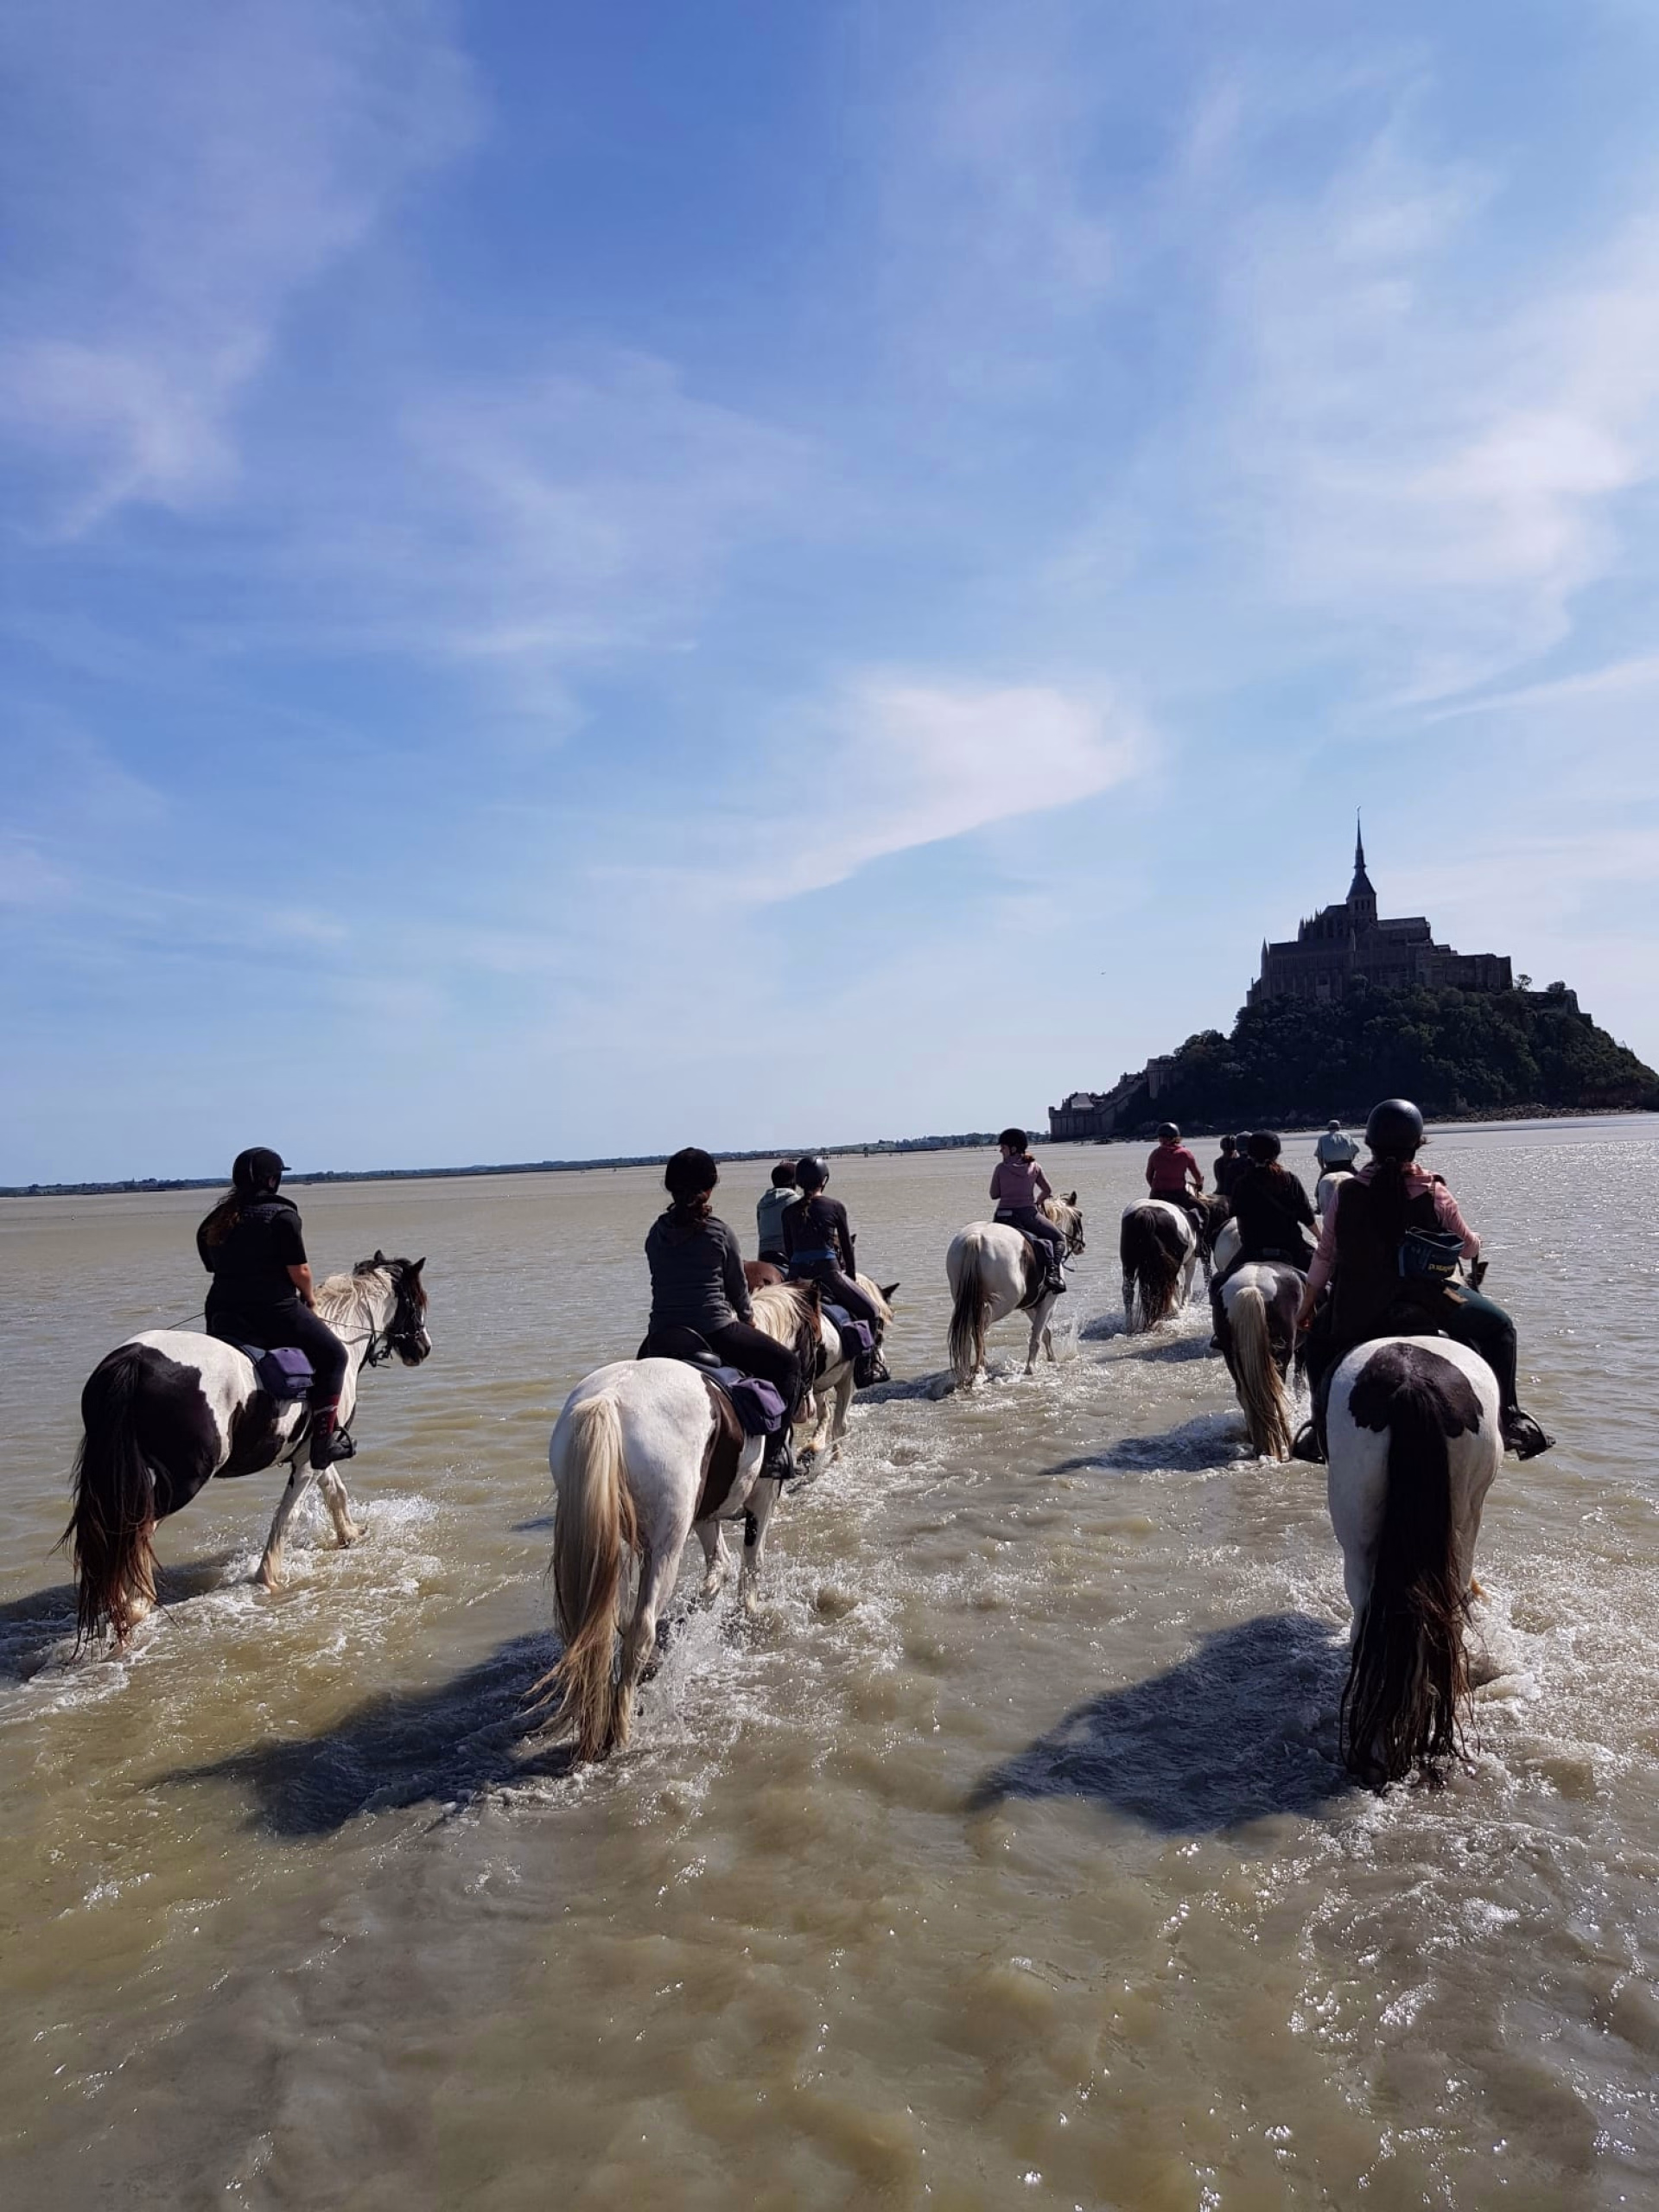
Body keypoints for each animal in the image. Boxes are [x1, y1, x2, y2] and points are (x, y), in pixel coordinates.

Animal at [67, 1254, 431, 1645]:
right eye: (417, 1300)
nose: (423, 1348)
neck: (343, 1335)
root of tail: (132, 1361)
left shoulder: (314, 1451)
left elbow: (336, 1491)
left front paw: (350, 1534)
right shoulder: (308, 1460)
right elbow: (288, 1515)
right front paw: (270, 1577)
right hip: (184, 1479)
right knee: (137, 1530)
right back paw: (138, 1603)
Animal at [534, 1356, 788, 1762]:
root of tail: (610, 1399)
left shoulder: (703, 1515)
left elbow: (719, 1567)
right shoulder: (762, 1500)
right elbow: (751, 1564)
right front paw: (746, 1616)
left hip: (614, 1544)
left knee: (607, 1626)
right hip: (667, 1546)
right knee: (641, 1628)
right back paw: (621, 1727)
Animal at [752, 1275, 898, 1461]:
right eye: (879, 1327)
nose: (882, 1360)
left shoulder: (816, 1385)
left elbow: (825, 1414)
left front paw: (813, 1447)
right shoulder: (846, 1381)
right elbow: (839, 1425)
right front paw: (836, 1459)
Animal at [946, 1196, 1085, 1386]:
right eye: (1078, 1217)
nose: (1081, 1246)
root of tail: (976, 1238)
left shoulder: (1030, 1305)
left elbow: (1044, 1333)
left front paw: (1051, 1359)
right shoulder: (1048, 1301)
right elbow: (1039, 1335)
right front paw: (1031, 1368)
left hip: (966, 1300)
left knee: (968, 1333)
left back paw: (967, 1372)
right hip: (1002, 1303)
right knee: (977, 1329)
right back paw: (979, 1369)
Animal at [1215, 1261, 1306, 1459]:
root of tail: (1252, 1288)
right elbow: (1300, 1383)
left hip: (1231, 1356)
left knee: (1245, 1395)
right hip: (1281, 1354)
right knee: (1276, 1393)